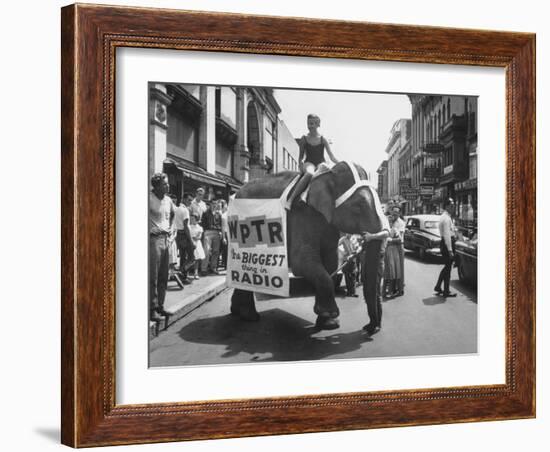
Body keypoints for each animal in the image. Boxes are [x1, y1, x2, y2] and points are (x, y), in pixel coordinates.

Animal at [229, 161, 388, 330]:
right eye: (358, 206)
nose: (369, 328)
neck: (328, 174)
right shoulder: (302, 217)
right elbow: (301, 262)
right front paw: (330, 315)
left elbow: (331, 263)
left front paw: (329, 323)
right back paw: (249, 316)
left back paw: (237, 312)